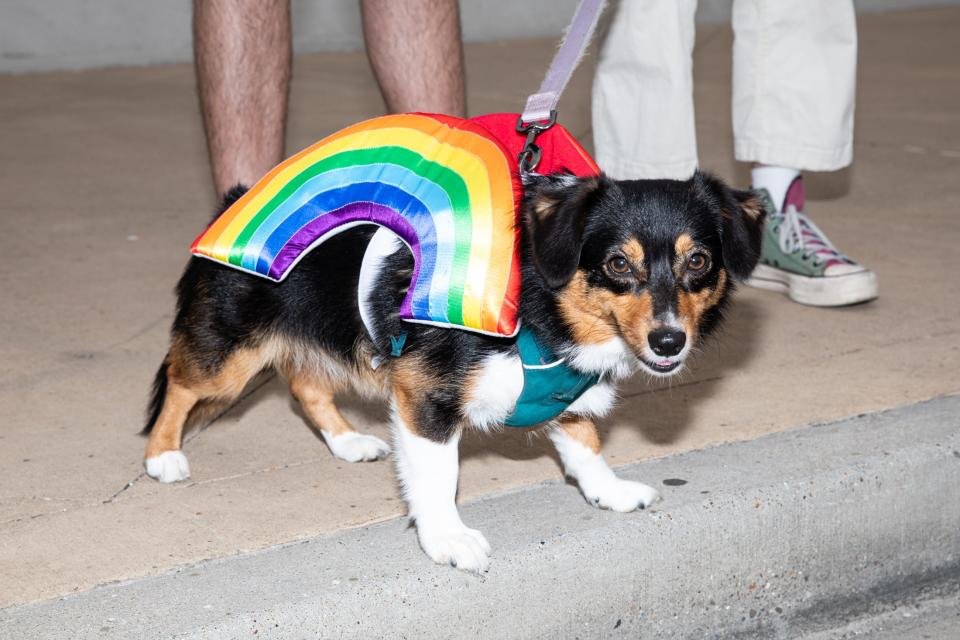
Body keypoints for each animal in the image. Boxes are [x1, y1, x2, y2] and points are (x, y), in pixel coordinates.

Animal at [142, 171, 764, 576]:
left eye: (698, 261)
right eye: (616, 264)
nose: (669, 340)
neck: (542, 304)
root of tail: (235, 197)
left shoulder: (562, 392)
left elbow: (585, 444)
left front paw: (607, 492)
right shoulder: (426, 397)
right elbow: (439, 477)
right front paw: (446, 538)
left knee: (305, 384)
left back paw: (346, 442)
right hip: (229, 357)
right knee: (180, 381)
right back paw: (163, 456)